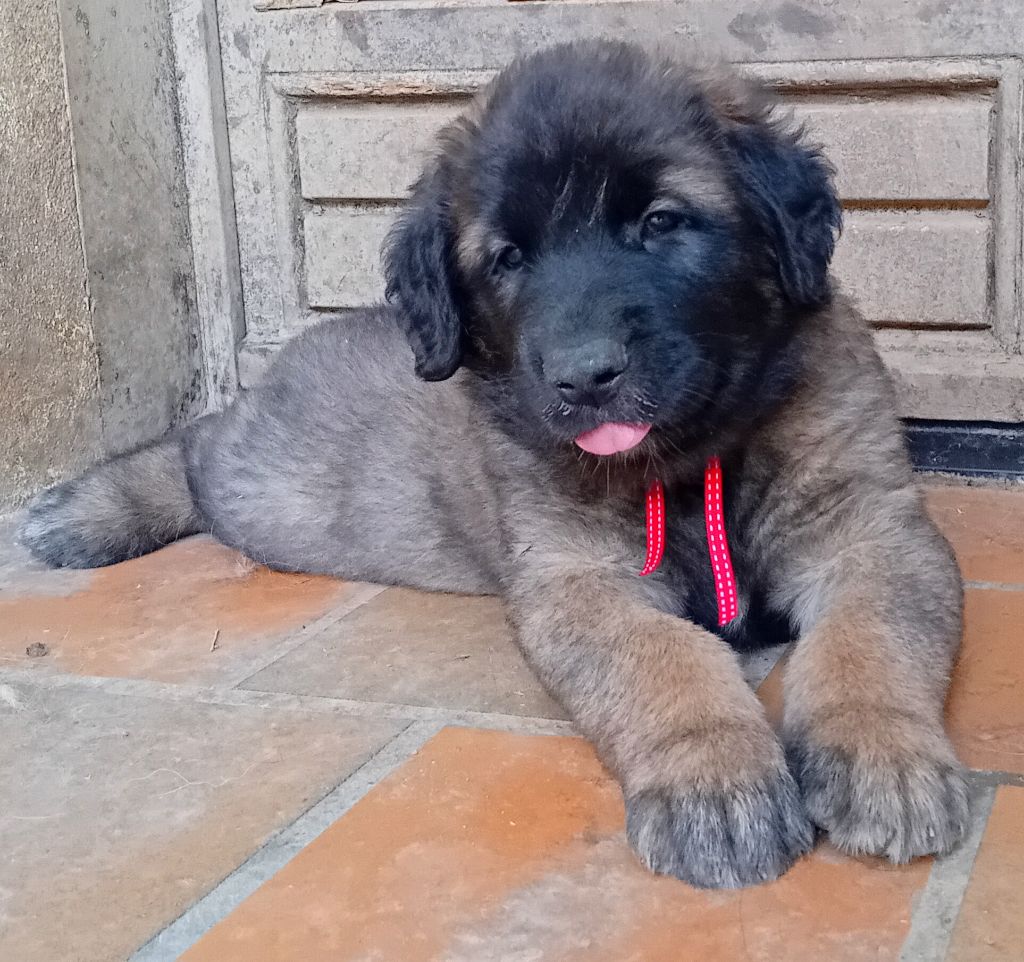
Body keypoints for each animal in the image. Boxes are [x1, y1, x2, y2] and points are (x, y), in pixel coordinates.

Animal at [19, 41, 968, 889]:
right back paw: (85, 511)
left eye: (661, 222)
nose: (584, 377)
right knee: (194, 447)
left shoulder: (869, 533)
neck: (695, 457)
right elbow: (664, 658)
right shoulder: (579, 578)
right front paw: (716, 781)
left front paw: (885, 753)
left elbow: (868, 639)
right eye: (509, 259)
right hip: (272, 494)